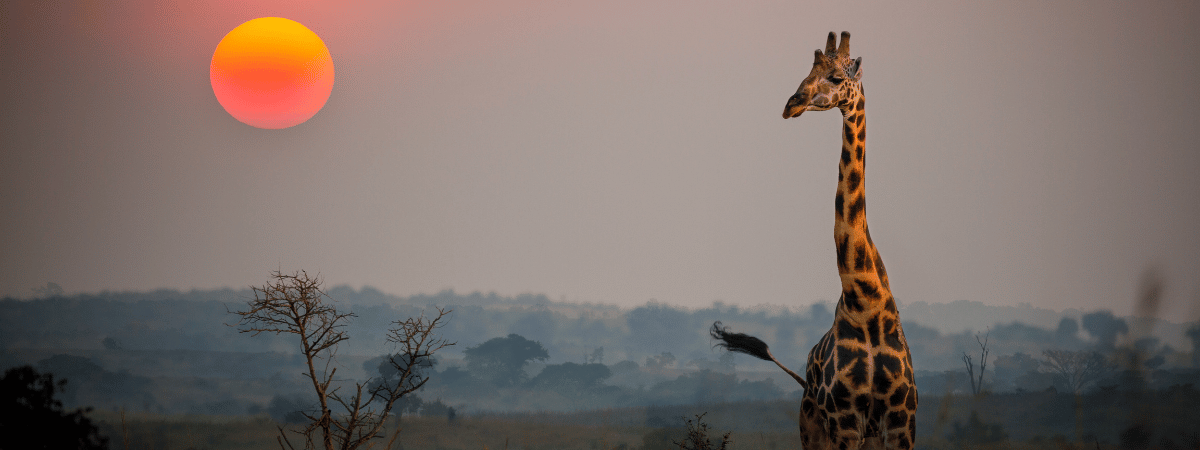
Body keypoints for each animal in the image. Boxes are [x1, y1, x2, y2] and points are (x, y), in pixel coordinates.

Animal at [710, 30, 916, 448]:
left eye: (836, 78)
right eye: (806, 73)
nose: (792, 104)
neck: (865, 303)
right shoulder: (844, 421)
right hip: (814, 429)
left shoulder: (902, 421)